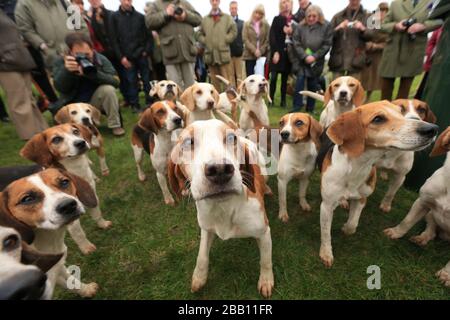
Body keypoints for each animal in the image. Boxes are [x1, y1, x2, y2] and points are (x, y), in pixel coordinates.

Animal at [0, 169, 99, 298]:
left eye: (64, 182)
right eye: (27, 199)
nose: (68, 205)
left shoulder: (57, 266)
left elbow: (71, 281)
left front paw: (86, 289)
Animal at [20, 124, 112, 254]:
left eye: (76, 131)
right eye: (56, 139)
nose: (81, 143)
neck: (77, 170)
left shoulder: (91, 196)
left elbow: (97, 213)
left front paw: (102, 224)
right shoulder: (68, 212)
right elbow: (78, 233)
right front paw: (86, 248)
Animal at [168, 119, 274, 298]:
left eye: (231, 138)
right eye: (188, 142)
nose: (219, 170)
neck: (224, 207)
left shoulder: (264, 232)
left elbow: (265, 260)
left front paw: (266, 280)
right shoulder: (206, 228)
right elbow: (202, 256)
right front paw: (199, 277)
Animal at [320, 101, 440, 266]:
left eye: (400, 112)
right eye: (378, 119)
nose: (432, 129)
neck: (357, 167)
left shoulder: (362, 198)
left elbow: (352, 225)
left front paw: (345, 228)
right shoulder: (326, 206)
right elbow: (326, 233)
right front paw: (326, 253)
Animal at [384, 127, 450, 288]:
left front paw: (447, 275)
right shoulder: (422, 202)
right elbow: (407, 221)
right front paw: (395, 233)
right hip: (431, 213)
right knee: (431, 231)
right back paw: (422, 238)